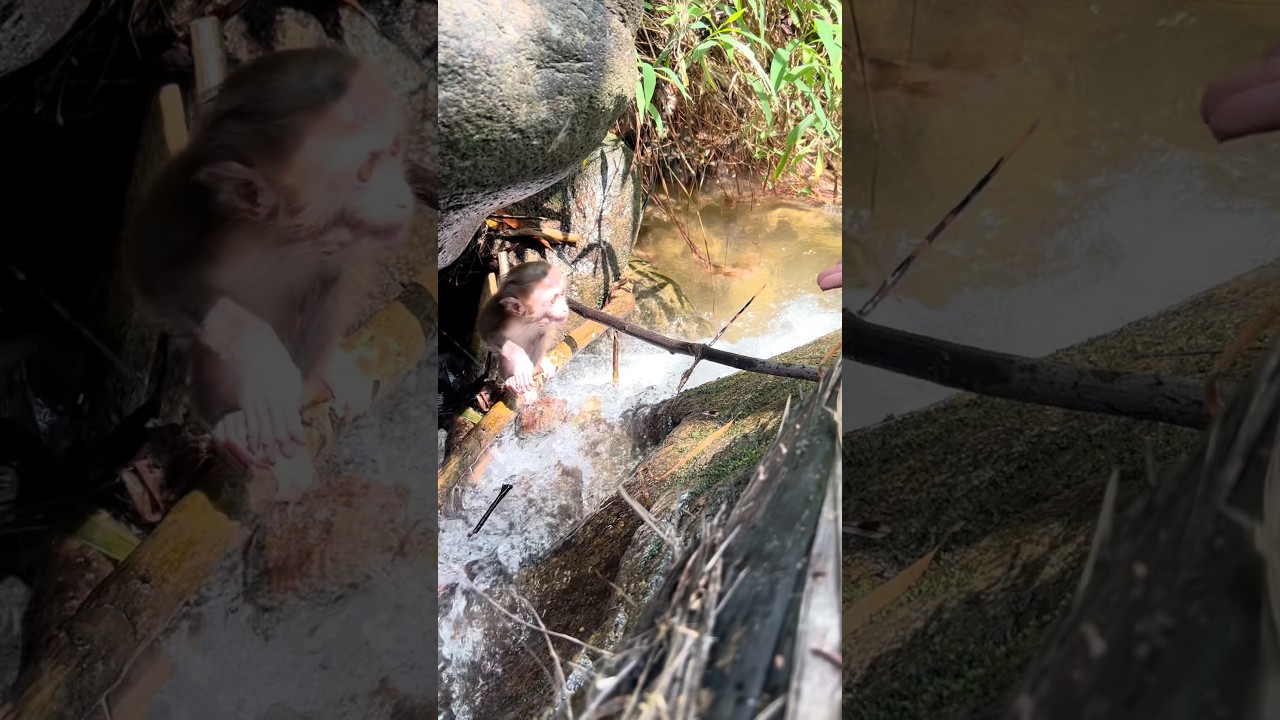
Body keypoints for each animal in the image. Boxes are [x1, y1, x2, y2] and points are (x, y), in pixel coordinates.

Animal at [124, 47, 415, 497]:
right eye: (365, 172)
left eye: (397, 151)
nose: (403, 199)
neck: (281, 237)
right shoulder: (185, 208)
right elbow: (156, 275)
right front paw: (264, 362)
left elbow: (332, 282)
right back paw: (228, 419)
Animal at [476, 261, 571, 404]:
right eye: (553, 300)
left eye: (563, 293)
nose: (565, 309)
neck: (526, 321)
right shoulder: (496, 314)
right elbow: (489, 335)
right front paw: (522, 364)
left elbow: (542, 335)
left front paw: (532, 371)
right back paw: (510, 379)